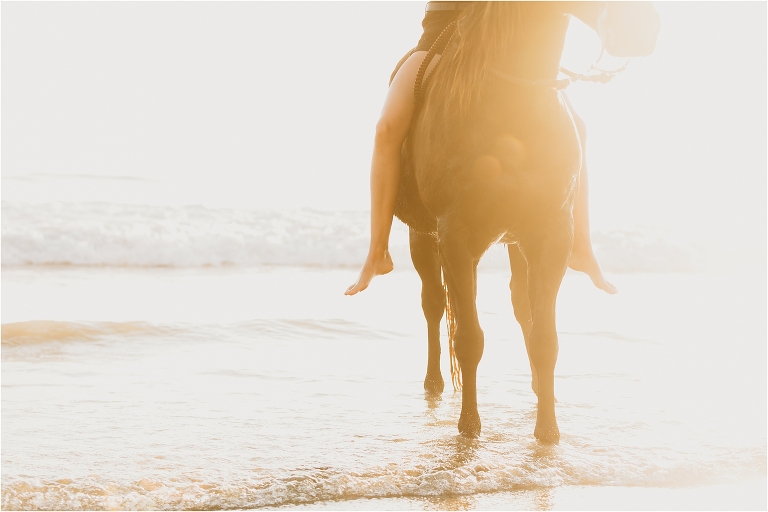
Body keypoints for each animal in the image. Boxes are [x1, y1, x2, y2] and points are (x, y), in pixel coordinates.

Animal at [394, 2, 660, 443]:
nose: (638, 28)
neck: (514, 105)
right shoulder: (456, 238)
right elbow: (469, 338)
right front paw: (469, 428)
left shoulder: (550, 236)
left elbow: (544, 338)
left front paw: (548, 431)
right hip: (423, 236)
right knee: (432, 302)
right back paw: (434, 383)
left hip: (518, 243)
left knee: (521, 303)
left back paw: (537, 388)